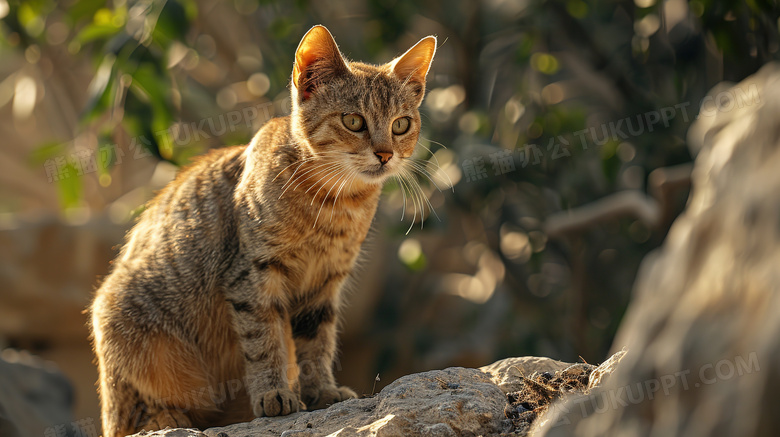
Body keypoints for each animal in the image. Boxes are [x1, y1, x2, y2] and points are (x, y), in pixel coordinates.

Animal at [90, 25, 438, 434]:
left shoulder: (324, 283)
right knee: (133, 413)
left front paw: (320, 391)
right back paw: (167, 416)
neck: (334, 205)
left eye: (401, 125)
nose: (385, 154)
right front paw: (274, 392)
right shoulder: (253, 275)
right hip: (121, 319)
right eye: (353, 121)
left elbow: (317, 344)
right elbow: (264, 339)